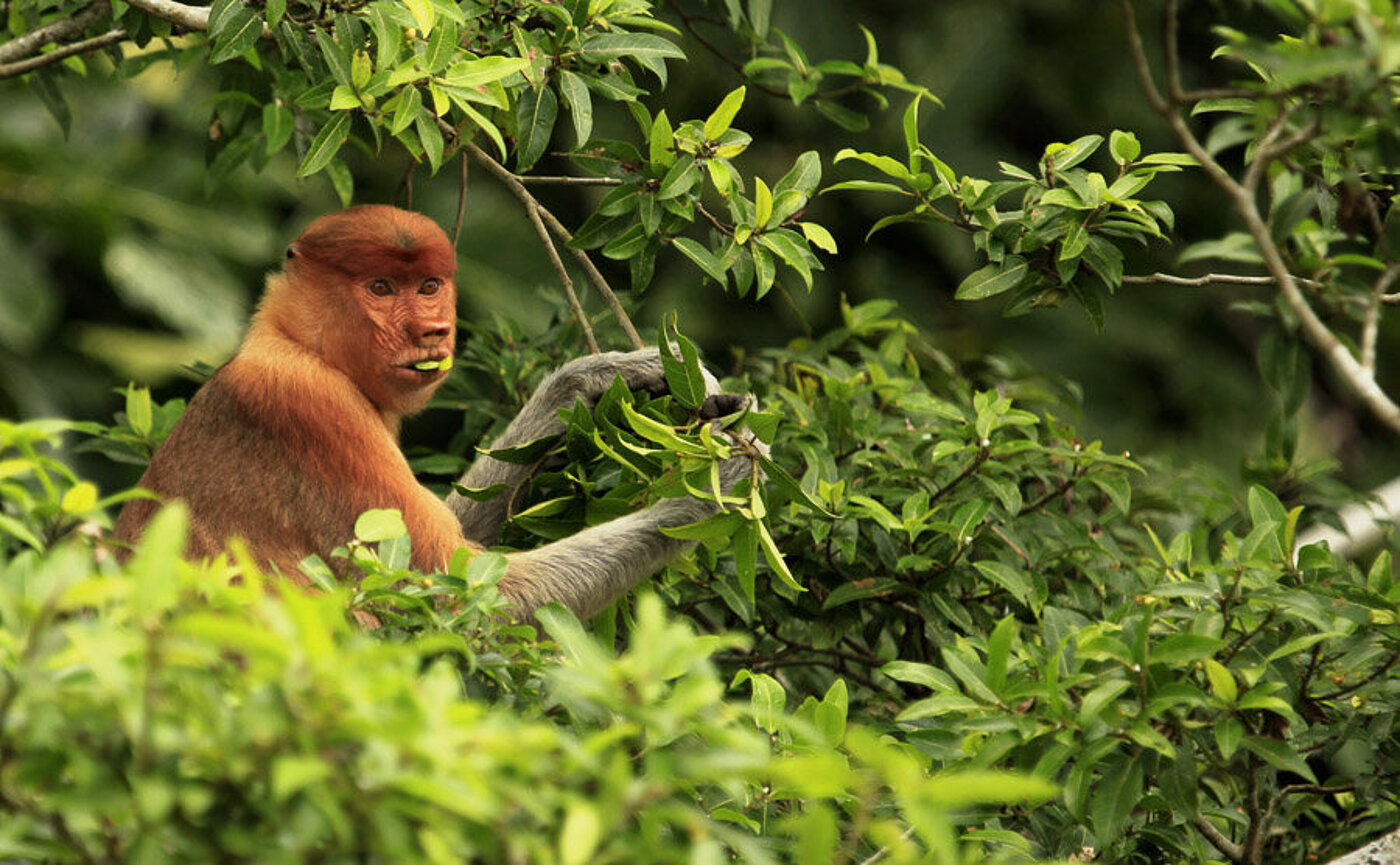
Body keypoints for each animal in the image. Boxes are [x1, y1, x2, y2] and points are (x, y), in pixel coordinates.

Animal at [114, 204, 761, 615]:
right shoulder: (318, 416)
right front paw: (724, 480)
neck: (299, 344)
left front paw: (598, 378)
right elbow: (467, 592)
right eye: (380, 288)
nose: (432, 331)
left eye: (429, 285)